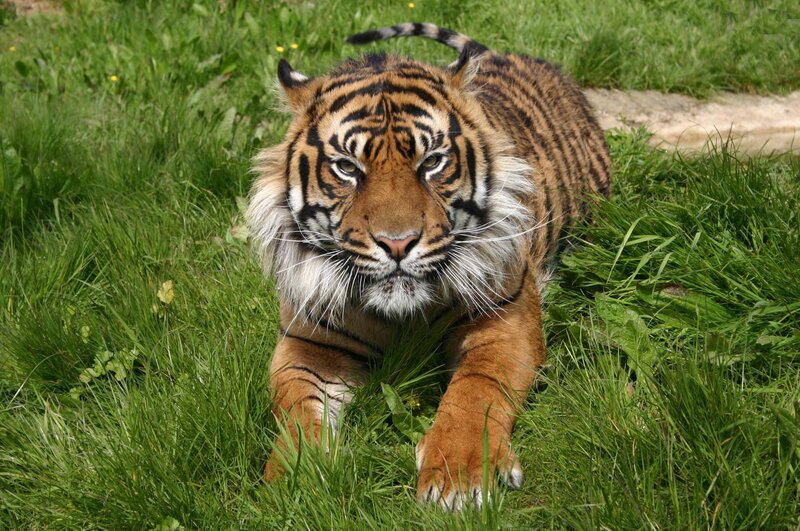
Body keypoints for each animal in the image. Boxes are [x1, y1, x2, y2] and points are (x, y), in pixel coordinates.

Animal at [246, 22, 611, 510]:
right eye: (347, 168)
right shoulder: (307, 346)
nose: (397, 243)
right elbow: (296, 416)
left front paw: (459, 478)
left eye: (432, 162)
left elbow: (475, 391)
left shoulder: (505, 322)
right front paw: (294, 486)